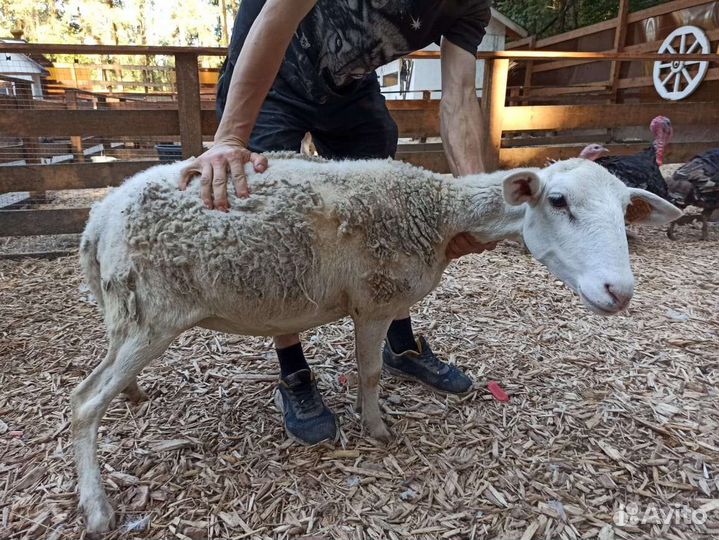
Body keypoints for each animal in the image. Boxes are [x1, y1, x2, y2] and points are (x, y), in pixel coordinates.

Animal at [72, 155, 681, 533]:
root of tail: (98, 217)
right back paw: (98, 507)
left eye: (625, 211)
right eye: (557, 201)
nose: (619, 291)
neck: (439, 211)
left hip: (130, 313)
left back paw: (132, 395)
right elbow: (368, 372)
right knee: (83, 402)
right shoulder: (372, 299)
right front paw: (377, 429)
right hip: (152, 314)